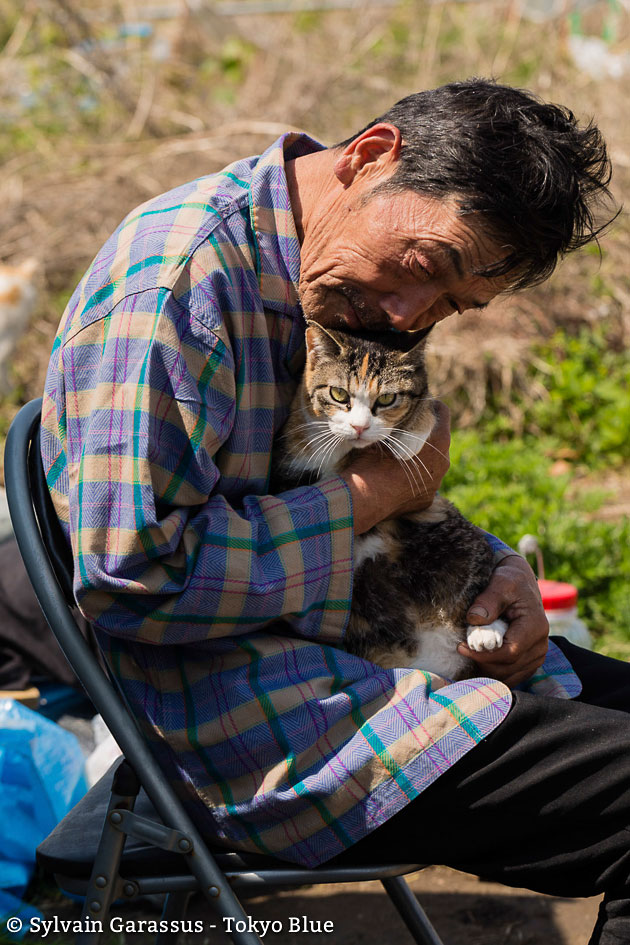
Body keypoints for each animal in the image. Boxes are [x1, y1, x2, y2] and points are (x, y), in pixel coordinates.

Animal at [274, 322, 512, 680]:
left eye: (387, 398)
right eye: (339, 394)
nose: (359, 427)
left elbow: (426, 406)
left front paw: (409, 438)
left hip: (455, 535)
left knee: (477, 576)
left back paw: (485, 630)